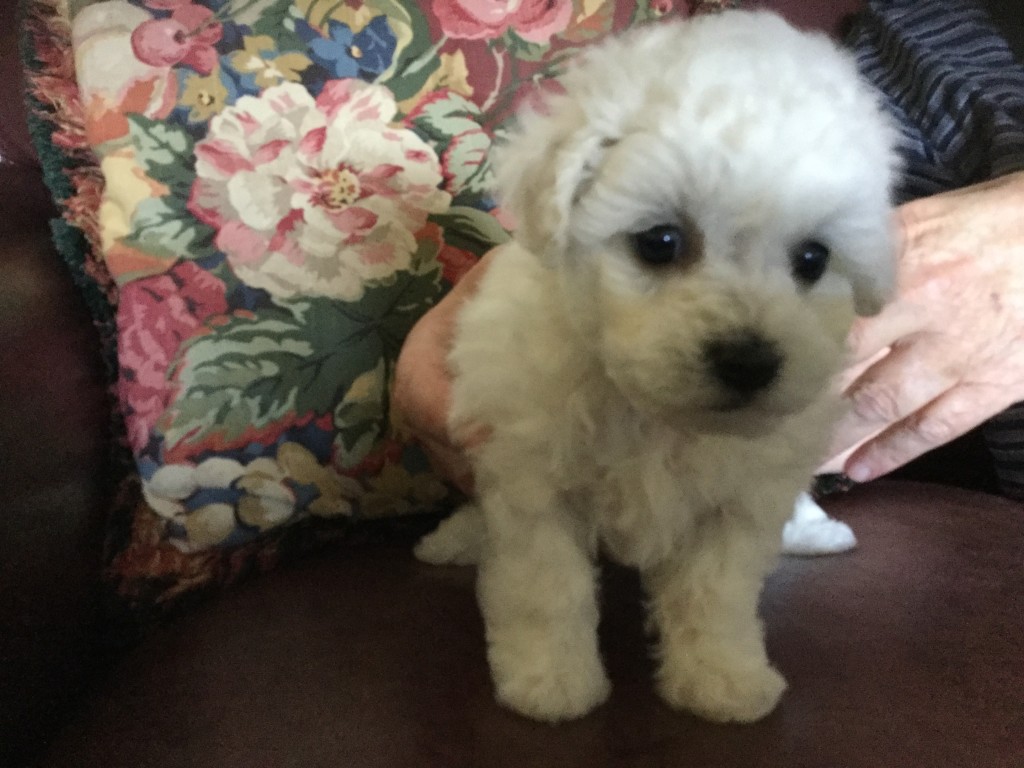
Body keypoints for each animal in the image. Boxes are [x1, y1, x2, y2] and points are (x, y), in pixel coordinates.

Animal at [415, 9, 897, 724]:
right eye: (660, 242)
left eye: (812, 258)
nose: (749, 360)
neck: (657, 416)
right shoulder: (532, 476)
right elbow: (546, 588)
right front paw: (550, 682)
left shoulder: (737, 502)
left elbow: (715, 595)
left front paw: (722, 679)